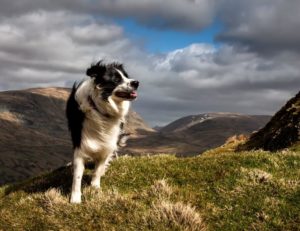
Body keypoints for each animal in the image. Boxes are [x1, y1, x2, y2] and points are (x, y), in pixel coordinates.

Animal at [66, 60, 139, 203]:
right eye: (116, 79)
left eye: (126, 76)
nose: (136, 82)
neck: (99, 108)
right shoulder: (80, 144)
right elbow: (77, 175)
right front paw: (75, 198)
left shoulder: (107, 144)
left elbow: (98, 168)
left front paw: (95, 187)